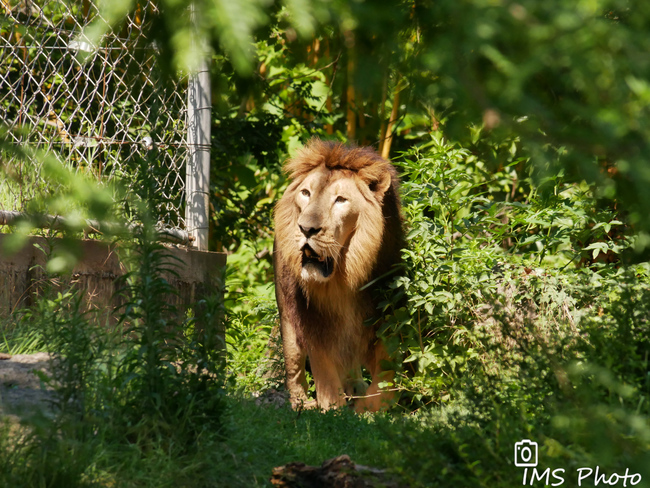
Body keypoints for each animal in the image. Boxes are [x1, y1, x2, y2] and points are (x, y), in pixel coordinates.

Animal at [272, 138, 402, 412]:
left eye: (341, 200)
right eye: (306, 193)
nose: (306, 228)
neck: (344, 279)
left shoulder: (384, 316)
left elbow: (386, 372)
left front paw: (371, 407)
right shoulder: (313, 322)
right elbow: (325, 372)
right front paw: (333, 409)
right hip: (287, 317)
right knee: (294, 363)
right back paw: (301, 404)